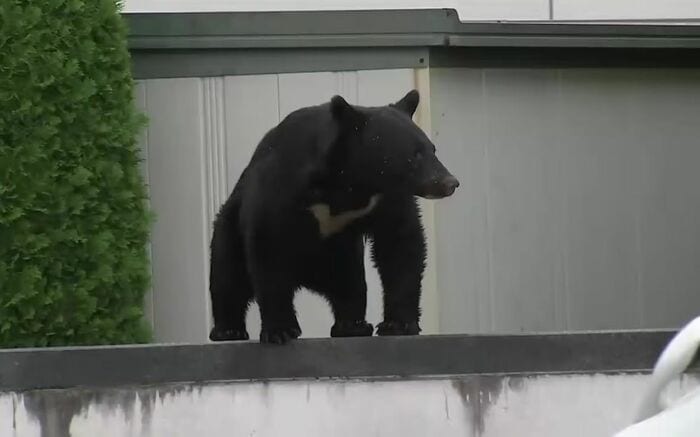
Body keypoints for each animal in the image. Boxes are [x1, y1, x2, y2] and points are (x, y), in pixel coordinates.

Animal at [208, 89, 459, 344]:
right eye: (414, 155)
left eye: (432, 149)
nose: (450, 183)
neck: (352, 182)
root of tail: (305, 277)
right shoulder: (282, 186)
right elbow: (268, 246)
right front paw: (281, 330)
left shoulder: (387, 199)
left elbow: (400, 245)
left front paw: (398, 325)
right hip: (228, 226)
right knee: (228, 276)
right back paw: (228, 330)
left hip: (339, 258)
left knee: (350, 286)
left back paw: (352, 325)